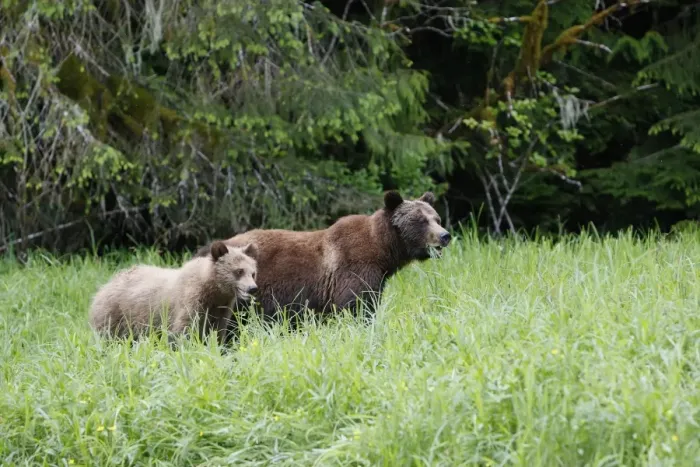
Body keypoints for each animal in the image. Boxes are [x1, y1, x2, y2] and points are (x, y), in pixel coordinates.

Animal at [88, 241, 259, 344]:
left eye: (253, 273)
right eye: (239, 271)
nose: (252, 288)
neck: (213, 290)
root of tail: (104, 286)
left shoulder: (221, 309)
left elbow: (216, 333)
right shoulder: (190, 302)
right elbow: (183, 330)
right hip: (115, 315)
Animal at [194, 190, 451, 322]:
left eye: (436, 218)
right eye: (421, 220)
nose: (445, 235)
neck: (382, 252)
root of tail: (205, 250)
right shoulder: (353, 271)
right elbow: (355, 307)